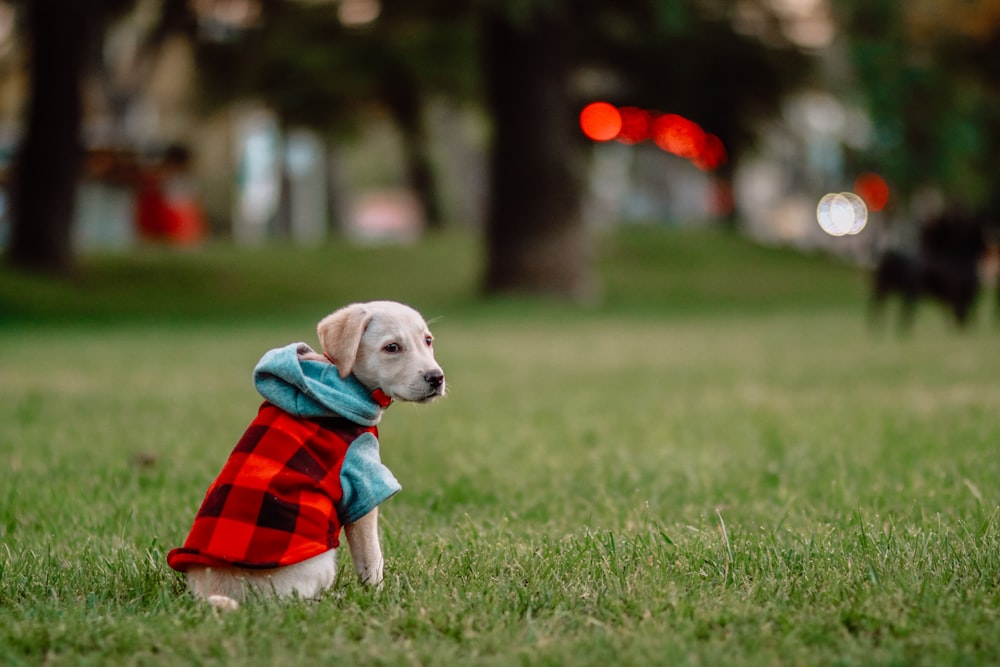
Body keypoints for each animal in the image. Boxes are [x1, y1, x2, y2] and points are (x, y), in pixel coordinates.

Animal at [168, 302, 446, 612]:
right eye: (392, 347)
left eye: (428, 340)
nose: (436, 378)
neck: (339, 382)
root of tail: (212, 592)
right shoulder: (362, 481)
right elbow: (371, 557)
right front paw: (378, 595)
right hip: (320, 561)